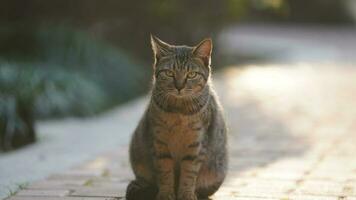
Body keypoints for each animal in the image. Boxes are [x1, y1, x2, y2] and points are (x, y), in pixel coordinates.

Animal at [126, 35, 227, 200]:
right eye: (169, 73)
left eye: (191, 74)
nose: (179, 86)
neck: (179, 111)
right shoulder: (159, 142)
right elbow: (165, 172)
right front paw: (166, 193)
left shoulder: (197, 143)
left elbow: (189, 173)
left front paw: (186, 194)